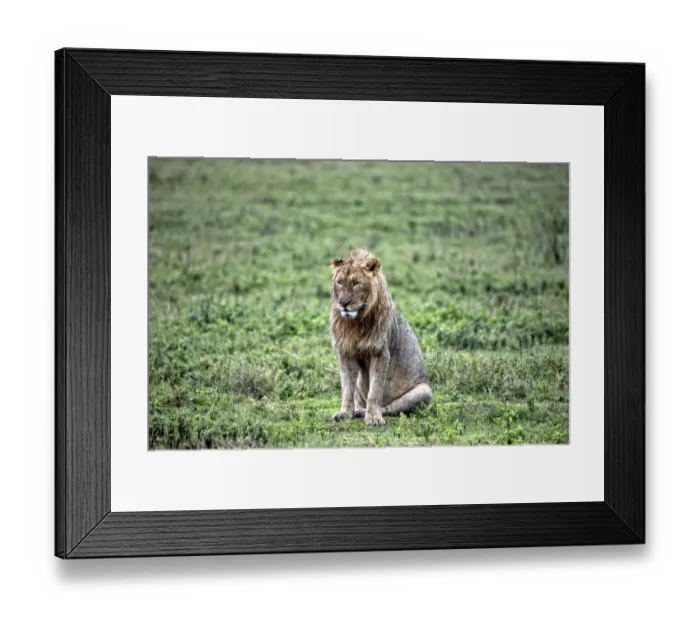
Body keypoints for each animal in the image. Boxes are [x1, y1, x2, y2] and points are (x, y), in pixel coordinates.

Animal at [329, 248, 432, 426]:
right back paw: (357, 411)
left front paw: (373, 418)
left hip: (425, 390)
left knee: (390, 408)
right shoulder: (345, 352)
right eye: (340, 282)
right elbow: (347, 389)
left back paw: (366, 412)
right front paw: (344, 413)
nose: (343, 303)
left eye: (355, 283)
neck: (355, 323)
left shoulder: (380, 353)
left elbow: (375, 390)